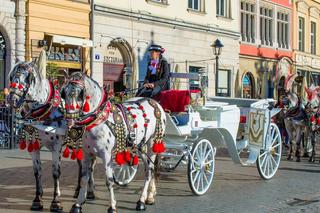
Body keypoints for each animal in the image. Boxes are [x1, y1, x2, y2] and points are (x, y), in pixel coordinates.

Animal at [61, 72, 166, 212]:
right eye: (64, 93)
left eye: (78, 93)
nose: (69, 121)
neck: (98, 119)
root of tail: (155, 102)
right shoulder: (87, 154)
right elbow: (84, 178)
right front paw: (78, 204)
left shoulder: (106, 155)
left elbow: (109, 180)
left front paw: (112, 206)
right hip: (140, 146)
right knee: (150, 168)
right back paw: (150, 197)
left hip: (152, 144)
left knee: (149, 170)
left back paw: (141, 201)